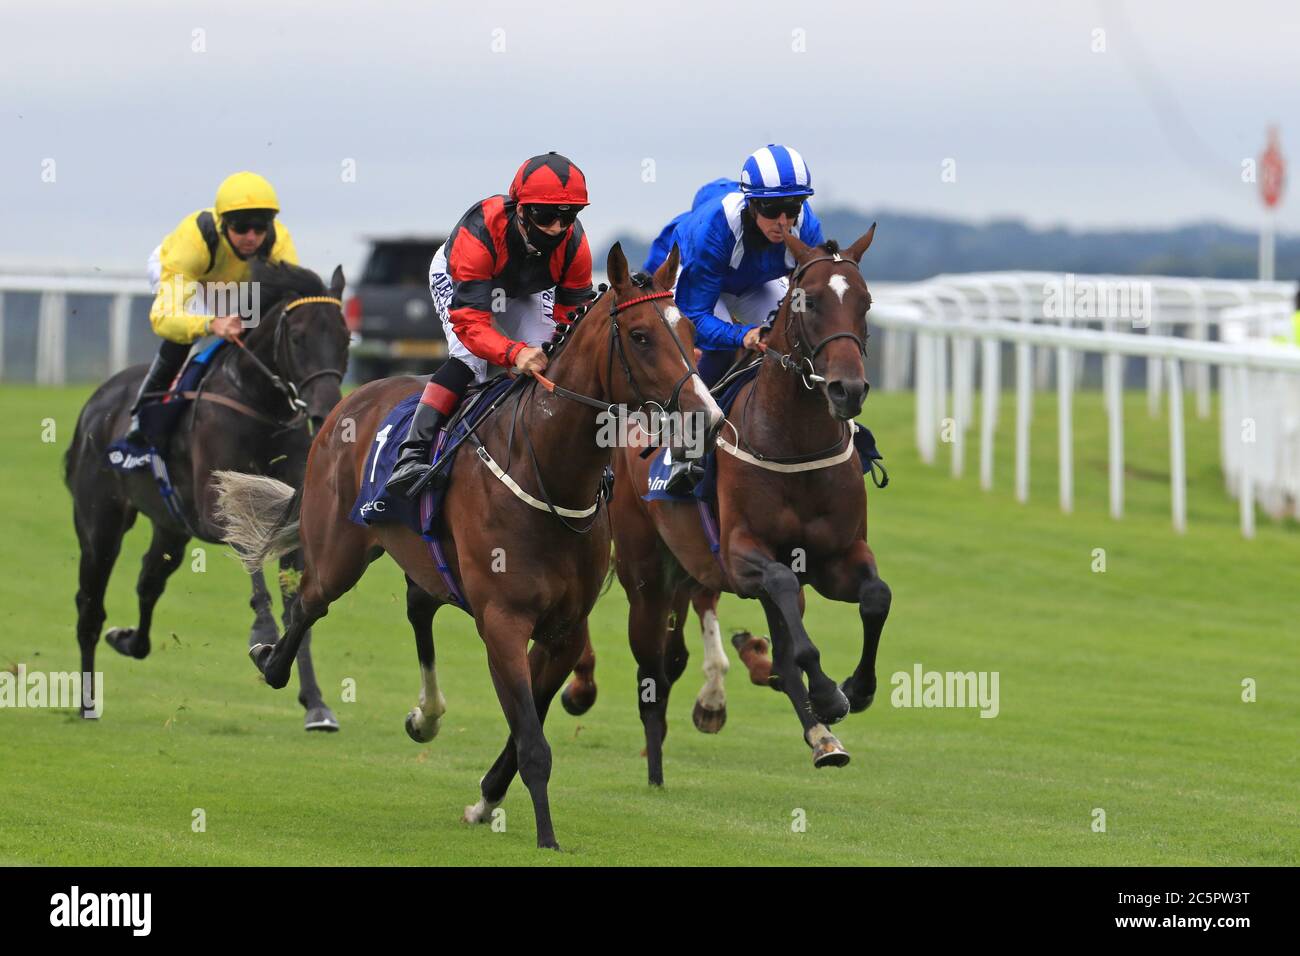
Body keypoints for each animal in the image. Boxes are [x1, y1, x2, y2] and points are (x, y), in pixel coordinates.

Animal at [64, 257, 351, 728]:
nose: (326, 409)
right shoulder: (217, 510)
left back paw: (127, 639)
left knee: (148, 582)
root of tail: (95, 404)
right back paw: (88, 703)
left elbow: (297, 605)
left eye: (346, 338)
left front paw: (315, 702)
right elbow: (254, 566)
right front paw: (262, 633)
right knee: (90, 604)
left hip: (170, 528)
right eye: (297, 337)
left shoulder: (292, 522)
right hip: (99, 522)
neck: (260, 405)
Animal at [209, 243, 728, 848]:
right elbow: (532, 742)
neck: (547, 470)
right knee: (310, 602)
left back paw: (426, 714)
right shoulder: (502, 621)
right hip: (339, 549)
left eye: (689, 330)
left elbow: (526, 727)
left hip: (426, 560)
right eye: (642, 336)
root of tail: (350, 399)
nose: (710, 419)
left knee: (417, 607)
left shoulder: (565, 630)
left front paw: (485, 801)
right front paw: (546, 836)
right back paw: (271, 660)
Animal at [569, 226, 894, 785]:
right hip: (645, 574)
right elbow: (788, 610)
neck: (793, 443)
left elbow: (875, 597)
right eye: (808, 303)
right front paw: (829, 693)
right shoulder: (742, 558)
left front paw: (854, 689)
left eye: (866, 302)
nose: (847, 390)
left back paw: (817, 734)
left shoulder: (837, 558)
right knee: (651, 667)